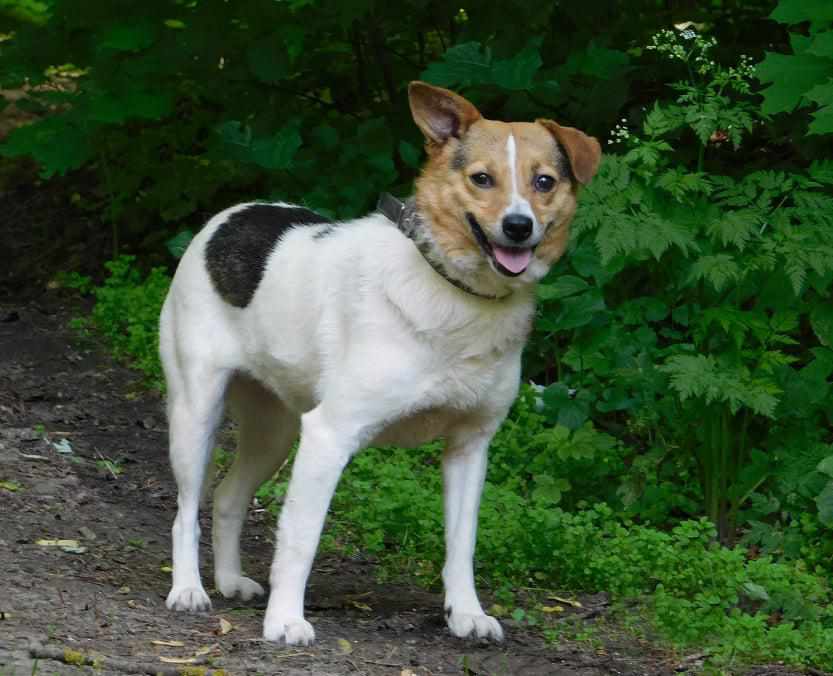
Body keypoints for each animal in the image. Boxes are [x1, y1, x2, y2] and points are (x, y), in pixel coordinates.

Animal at [158, 82, 600, 648]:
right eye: (482, 178)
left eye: (544, 181)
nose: (518, 227)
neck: (454, 293)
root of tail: (229, 216)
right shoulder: (328, 435)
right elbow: (300, 538)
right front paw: (285, 620)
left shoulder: (470, 448)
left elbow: (462, 544)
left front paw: (466, 613)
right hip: (197, 415)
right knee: (186, 508)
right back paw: (189, 589)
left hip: (274, 431)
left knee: (229, 497)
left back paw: (231, 580)